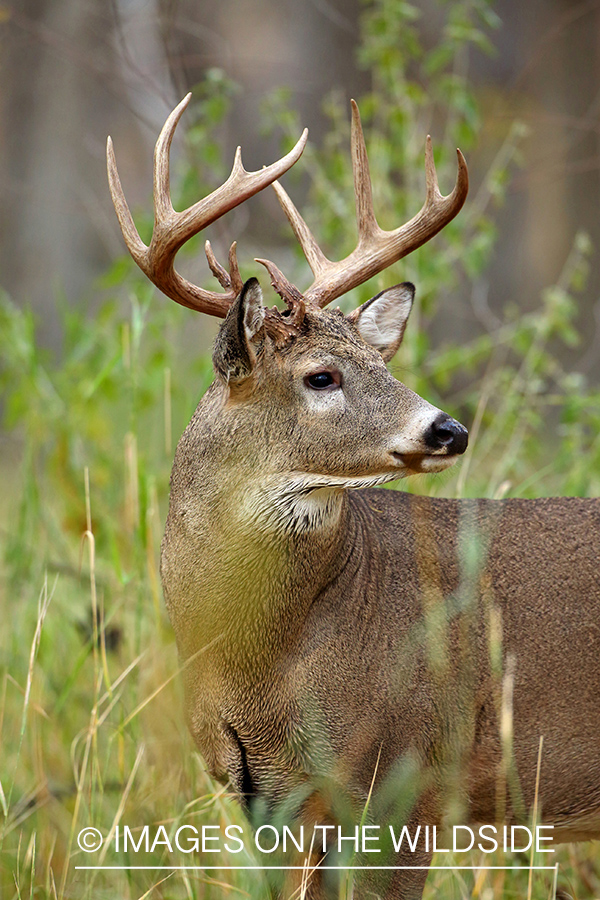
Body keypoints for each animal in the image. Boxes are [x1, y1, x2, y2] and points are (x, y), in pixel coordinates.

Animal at [108, 95, 600, 896]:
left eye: (382, 361)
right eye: (321, 376)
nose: (448, 429)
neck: (259, 662)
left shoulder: (411, 774)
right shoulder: (263, 796)